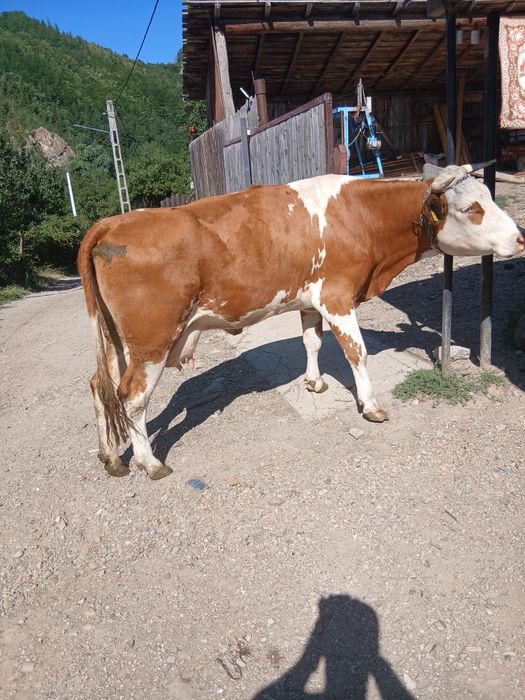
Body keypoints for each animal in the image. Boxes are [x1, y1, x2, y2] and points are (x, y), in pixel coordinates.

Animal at [77, 163, 524, 479]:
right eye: (471, 208)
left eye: (490, 197)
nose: (520, 237)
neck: (360, 216)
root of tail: (112, 221)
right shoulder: (338, 298)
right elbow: (357, 352)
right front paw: (371, 405)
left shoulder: (312, 300)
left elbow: (312, 342)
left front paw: (314, 382)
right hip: (151, 340)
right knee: (132, 397)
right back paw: (149, 463)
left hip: (116, 338)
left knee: (100, 385)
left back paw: (110, 457)